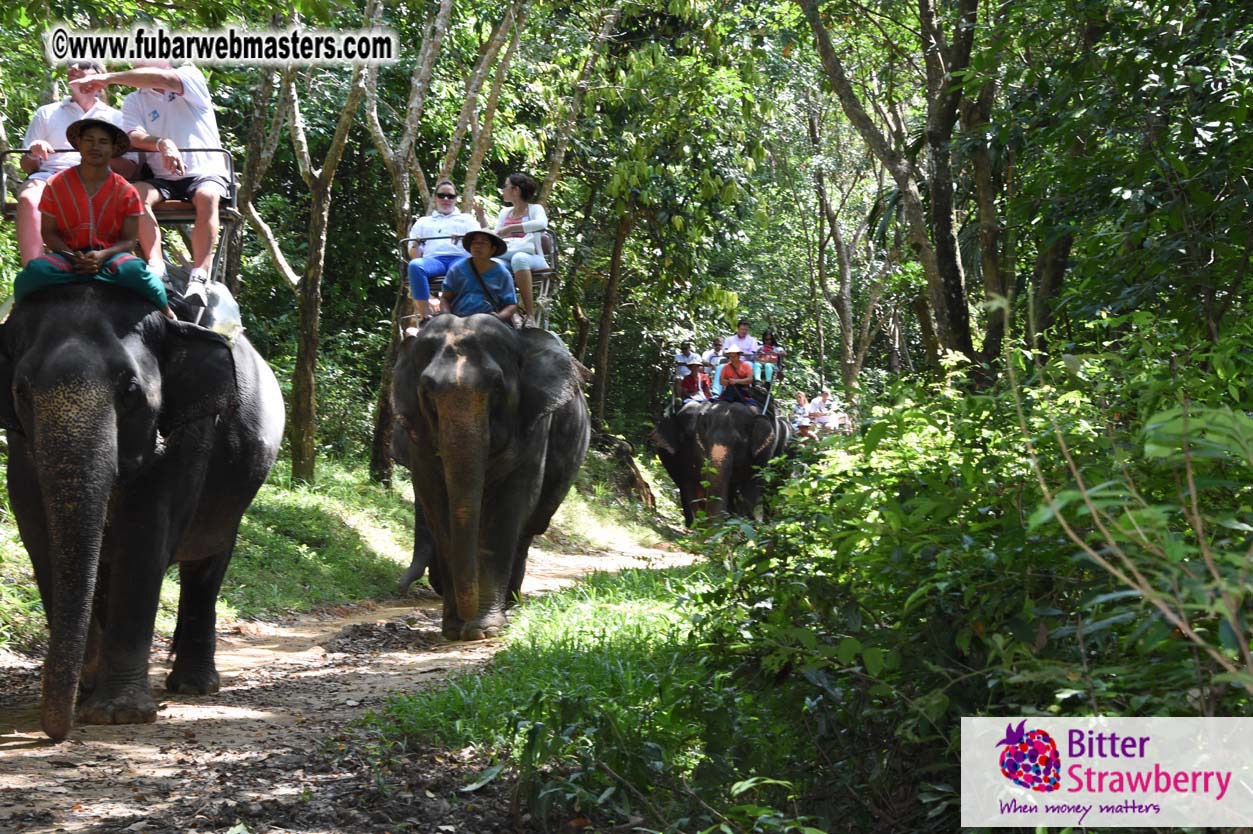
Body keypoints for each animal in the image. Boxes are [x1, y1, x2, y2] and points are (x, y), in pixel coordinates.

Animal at [0, 283, 284, 736]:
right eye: (20, 391)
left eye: (130, 390)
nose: (54, 732)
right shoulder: (20, 444)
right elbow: (41, 539)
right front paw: (85, 691)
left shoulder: (187, 437)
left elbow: (145, 540)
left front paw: (118, 713)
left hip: (235, 492)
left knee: (207, 566)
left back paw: (193, 685)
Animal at [388, 311, 588, 636]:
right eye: (426, 391)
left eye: (496, 386)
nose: (400, 589)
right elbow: (437, 504)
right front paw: (454, 629)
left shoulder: (533, 424)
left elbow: (509, 505)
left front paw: (483, 629)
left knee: (528, 530)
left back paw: (512, 604)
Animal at [651, 398, 786, 525]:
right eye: (702, 441)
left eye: (738, 444)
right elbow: (689, 485)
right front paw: (698, 527)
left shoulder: (763, 453)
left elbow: (752, 485)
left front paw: (744, 523)